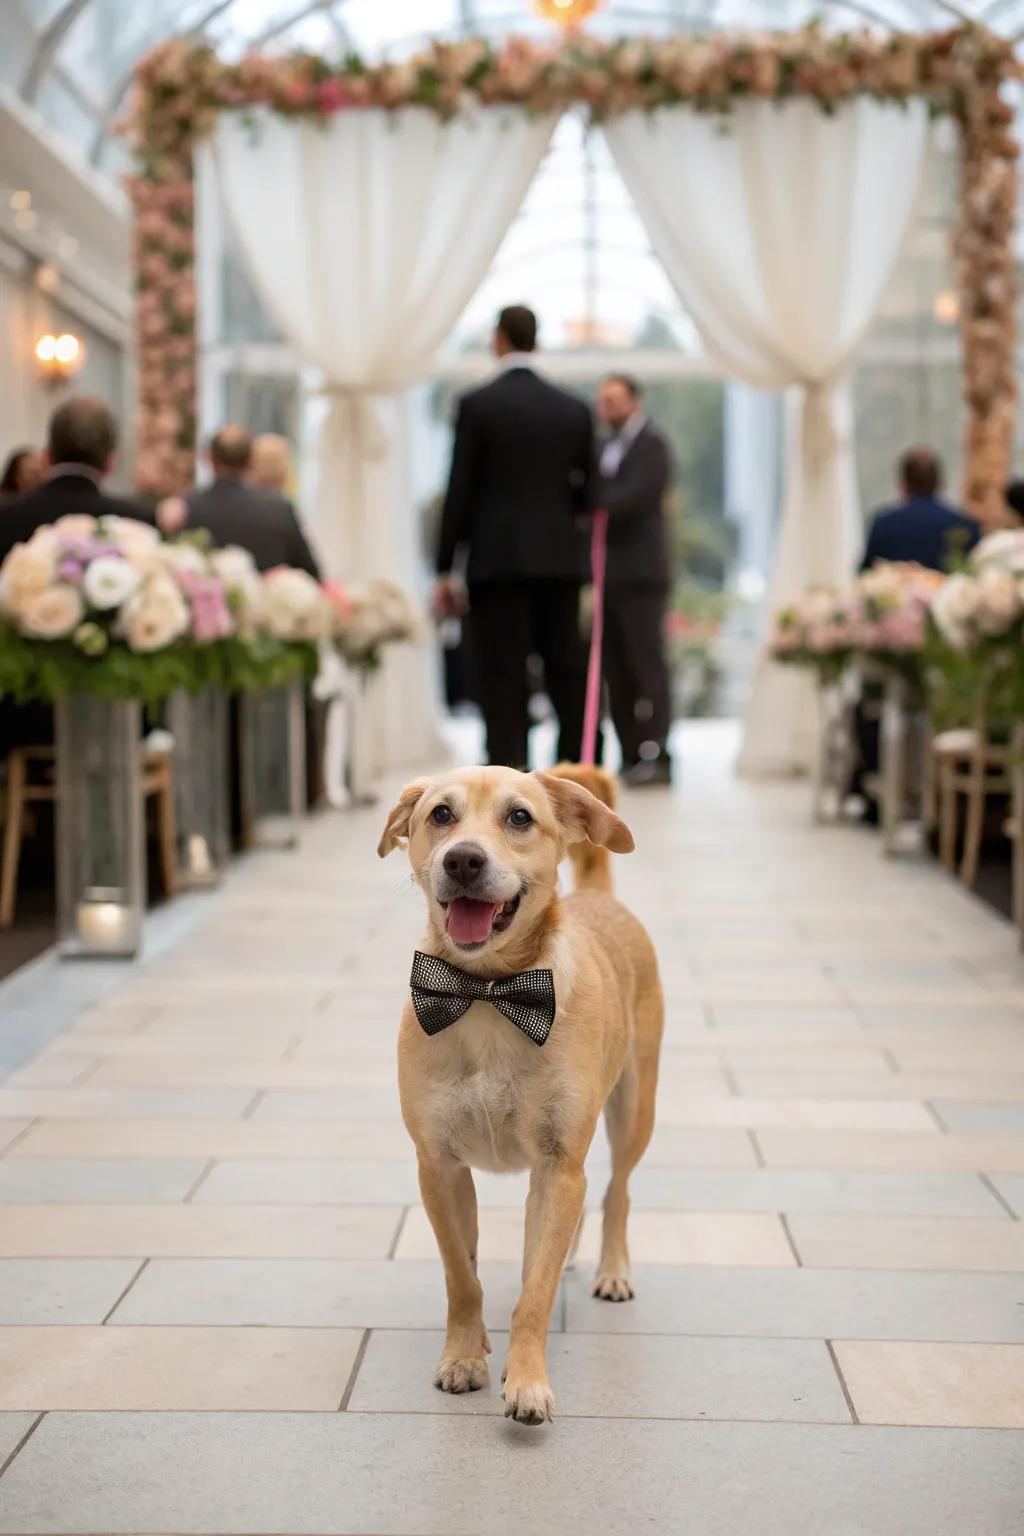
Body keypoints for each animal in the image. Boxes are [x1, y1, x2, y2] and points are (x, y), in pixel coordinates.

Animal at [379, 761, 666, 1419]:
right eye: (441, 814)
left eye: (519, 817)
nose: (463, 860)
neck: (488, 993)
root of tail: (599, 897)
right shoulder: (439, 1167)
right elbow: (462, 1276)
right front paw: (465, 1356)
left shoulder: (559, 1165)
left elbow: (533, 1290)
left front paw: (527, 1379)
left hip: (633, 1111)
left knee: (616, 1192)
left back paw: (612, 1269)